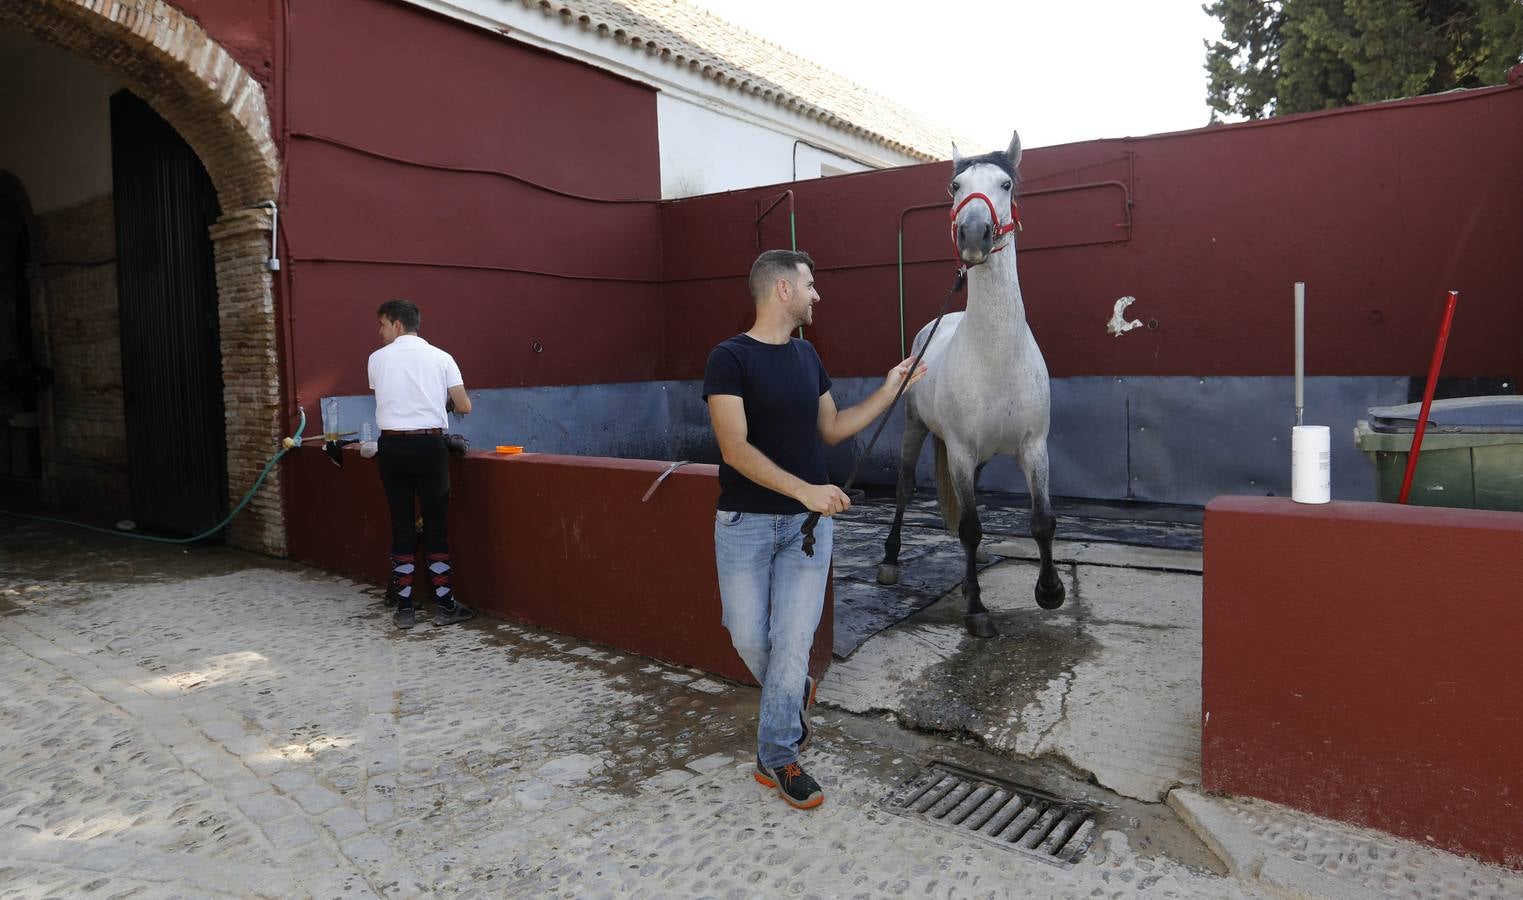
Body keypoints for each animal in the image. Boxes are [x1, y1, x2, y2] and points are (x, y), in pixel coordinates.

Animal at [877, 130, 1066, 636]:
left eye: (1006, 184)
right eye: (955, 186)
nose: (975, 235)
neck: (996, 356)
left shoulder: (1034, 446)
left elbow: (1042, 520)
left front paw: (1050, 591)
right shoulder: (960, 450)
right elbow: (970, 526)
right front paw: (978, 609)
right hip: (914, 428)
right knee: (905, 488)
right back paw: (890, 561)